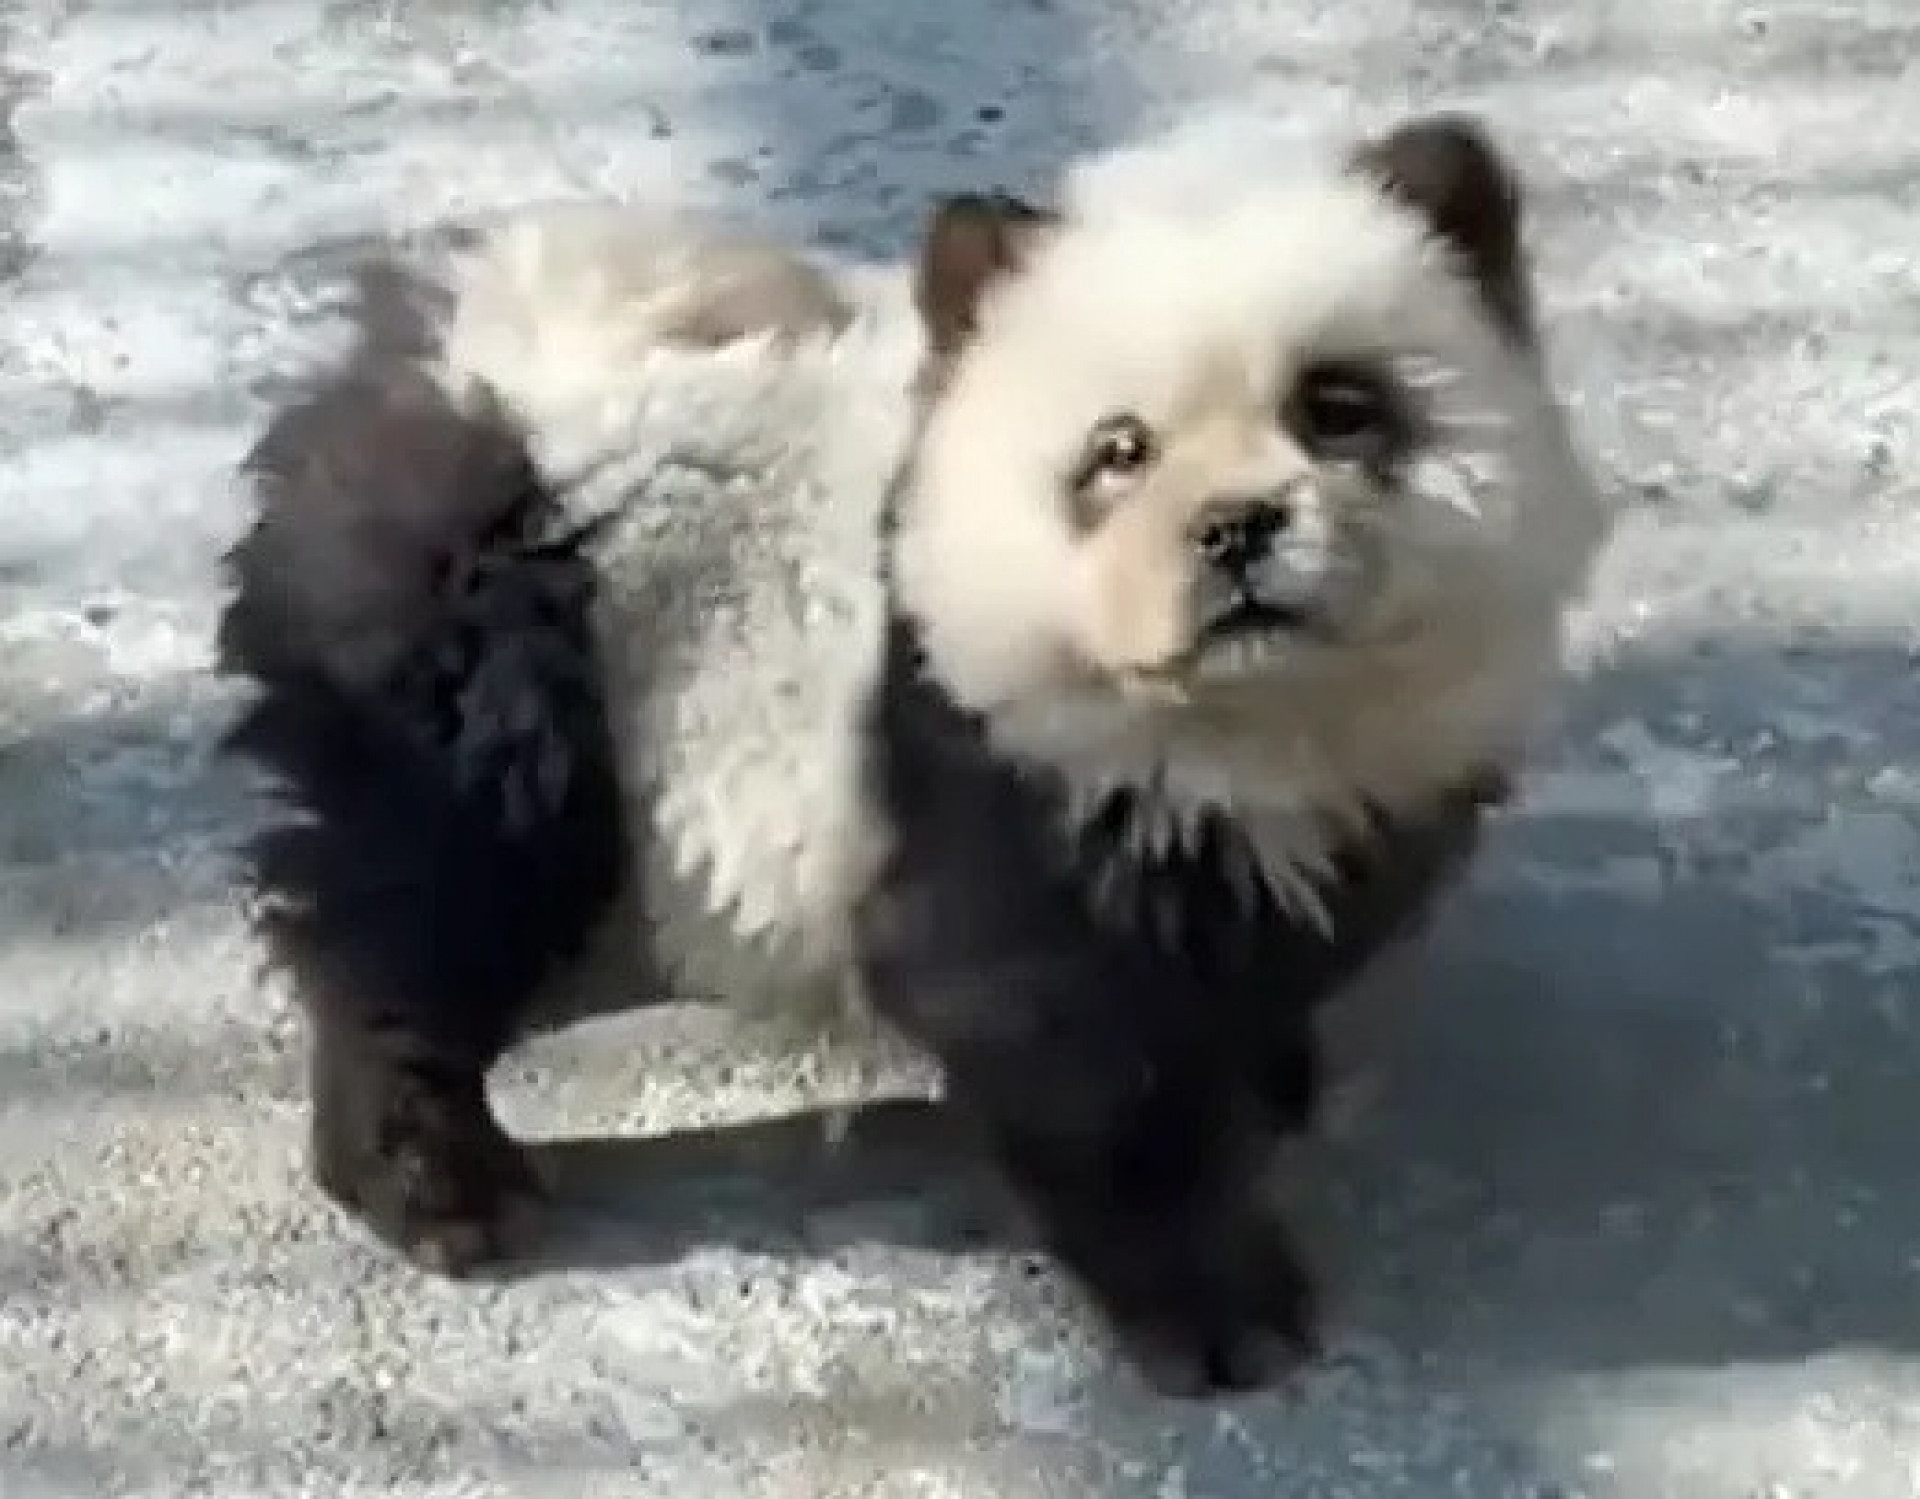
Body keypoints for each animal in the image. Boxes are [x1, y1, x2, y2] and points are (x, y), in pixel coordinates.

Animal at [215, 110, 1613, 1397]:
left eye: (1339, 406)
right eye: (1118, 450)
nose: (1236, 528)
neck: (1244, 718)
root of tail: (472, 371)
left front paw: (1270, 1082)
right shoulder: (993, 802)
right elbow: (1089, 1071)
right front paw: (1219, 1307)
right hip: (503, 690)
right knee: (420, 922)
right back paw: (439, 1186)